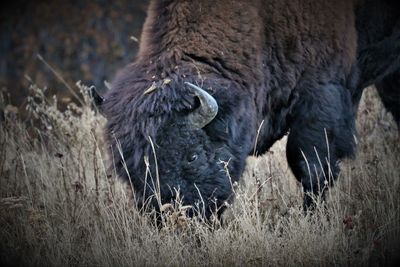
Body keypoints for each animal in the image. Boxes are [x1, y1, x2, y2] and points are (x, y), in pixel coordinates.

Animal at [98, 0, 398, 218]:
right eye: (128, 168)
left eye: (193, 156)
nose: (168, 216)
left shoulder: (321, 96)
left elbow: (310, 167)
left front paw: (312, 218)